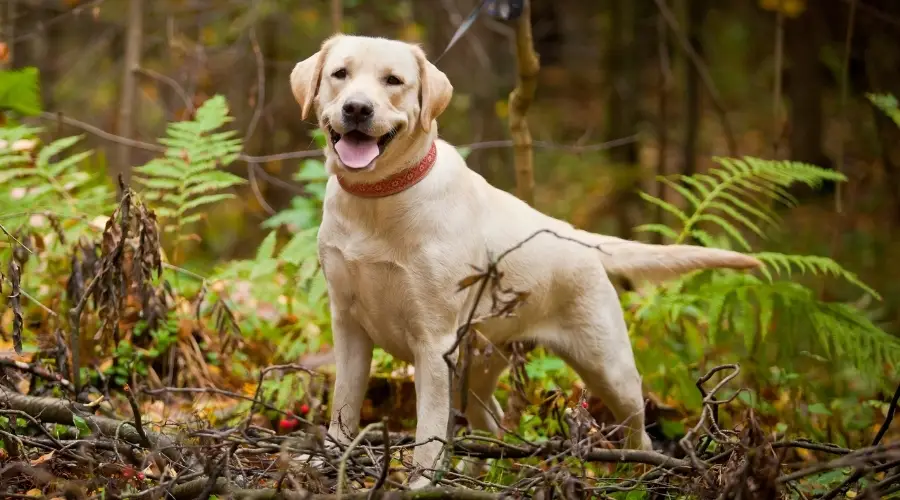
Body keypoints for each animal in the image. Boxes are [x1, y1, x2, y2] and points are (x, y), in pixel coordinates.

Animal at [290, 33, 760, 486]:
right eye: (340, 74)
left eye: (393, 81)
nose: (357, 108)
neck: (376, 200)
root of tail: (580, 237)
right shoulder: (348, 325)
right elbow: (343, 405)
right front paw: (328, 461)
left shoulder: (433, 342)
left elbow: (429, 429)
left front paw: (419, 482)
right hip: (477, 368)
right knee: (493, 424)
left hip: (609, 368)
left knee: (637, 430)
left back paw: (639, 474)